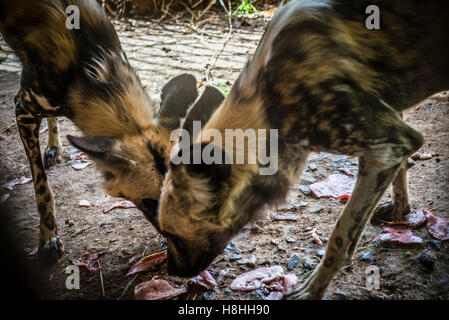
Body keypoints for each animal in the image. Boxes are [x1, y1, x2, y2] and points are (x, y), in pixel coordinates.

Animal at [0, 0, 224, 264]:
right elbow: (42, 188)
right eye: (150, 202)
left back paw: (54, 147)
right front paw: (48, 239)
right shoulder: (22, 110)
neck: (88, 68)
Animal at [152, 1, 446, 298]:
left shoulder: (388, 147)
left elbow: (339, 238)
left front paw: (311, 290)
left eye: (172, 234)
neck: (268, 103)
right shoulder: (392, 130)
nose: (171, 270)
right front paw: (401, 210)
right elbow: (402, 172)